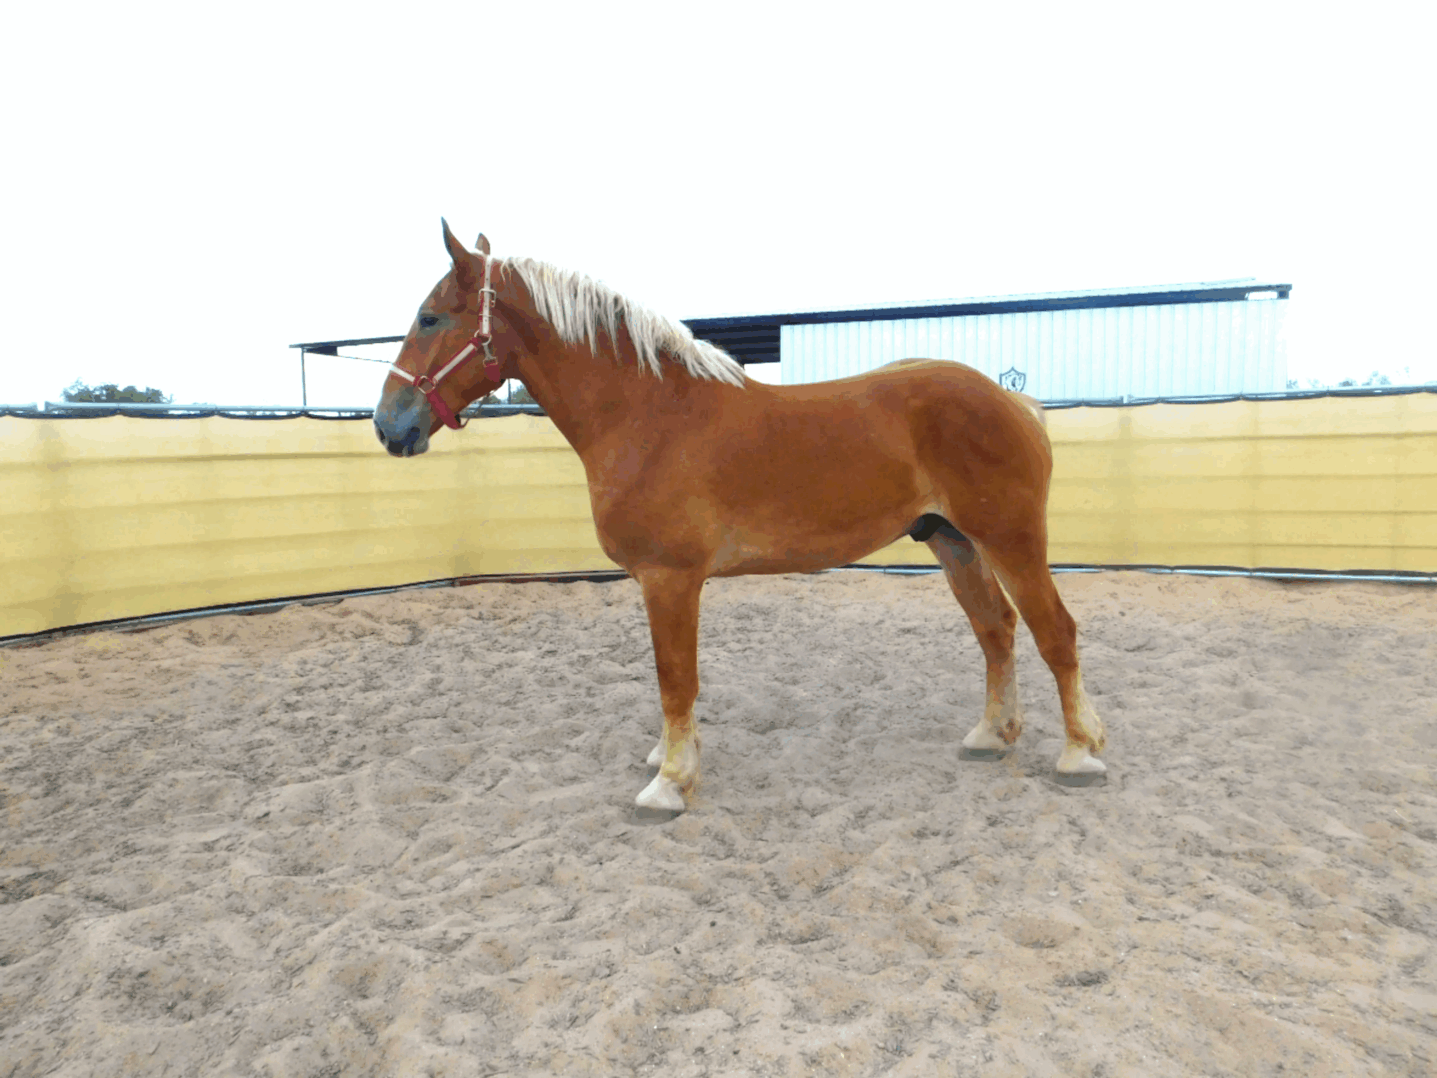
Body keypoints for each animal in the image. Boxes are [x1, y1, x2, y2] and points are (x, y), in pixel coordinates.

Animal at [373, 221, 1108, 814]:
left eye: (431, 318)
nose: (387, 425)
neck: (647, 415)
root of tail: (1015, 402)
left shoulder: (669, 578)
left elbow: (675, 680)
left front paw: (669, 784)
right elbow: (677, 684)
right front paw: (672, 760)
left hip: (1010, 540)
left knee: (1055, 633)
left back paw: (1080, 753)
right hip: (954, 543)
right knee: (997, 630)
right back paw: (991, 736)